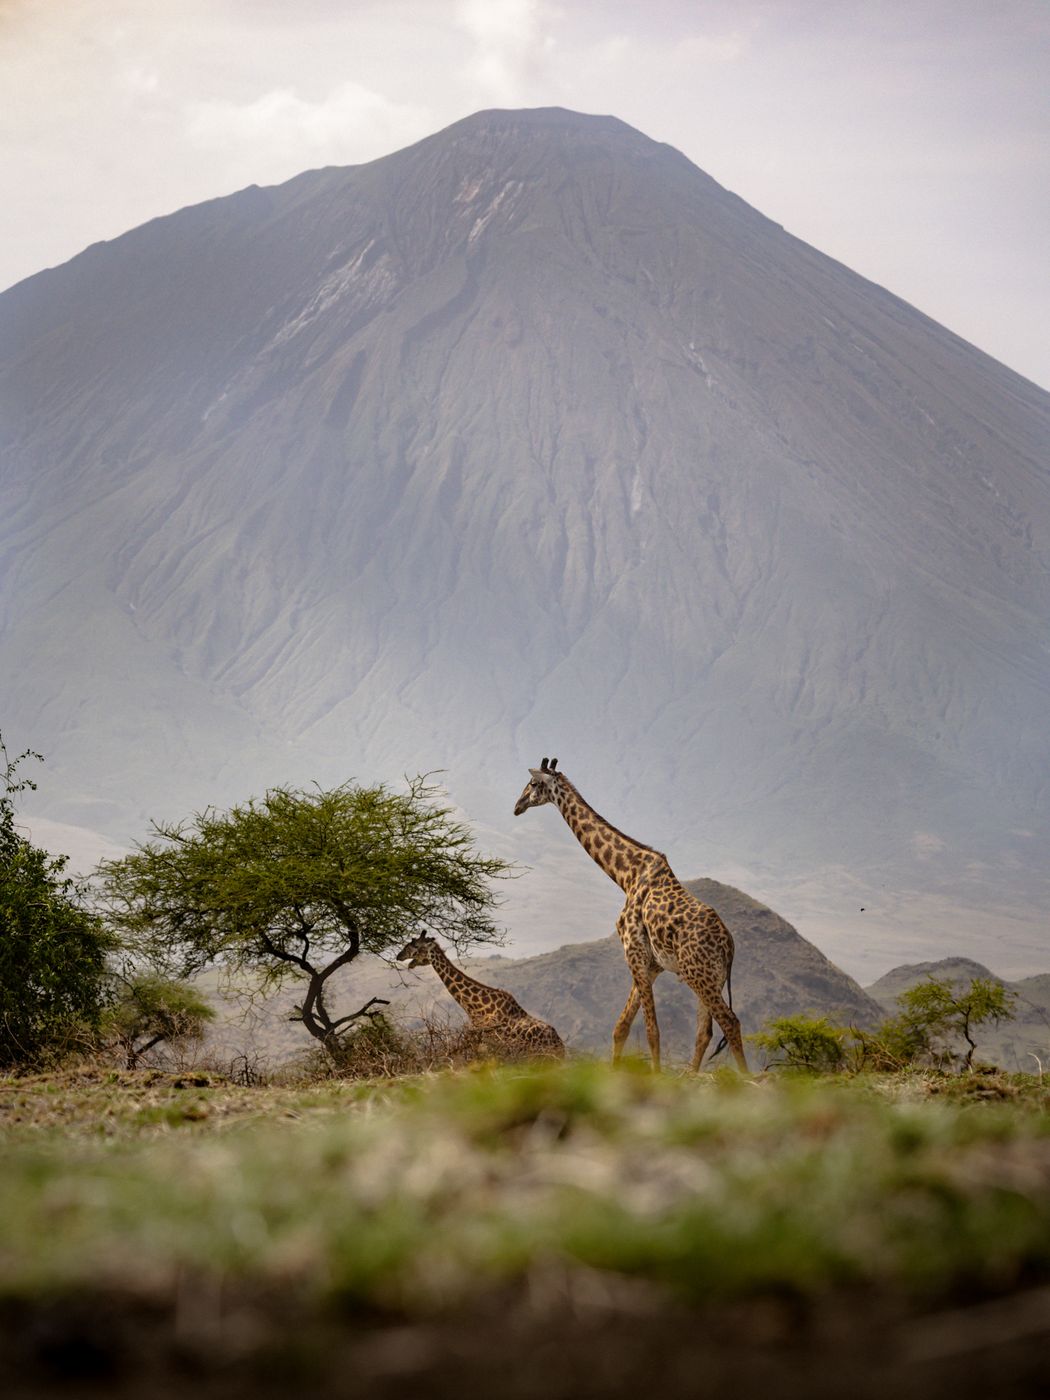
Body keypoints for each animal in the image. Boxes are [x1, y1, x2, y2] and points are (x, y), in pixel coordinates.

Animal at [513, 758, 748, 1073]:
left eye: (533, 783)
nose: (517, 805)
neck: (626, 875)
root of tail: (729, 946)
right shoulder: (651, 963)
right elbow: (621, 1026)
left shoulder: (633, 950)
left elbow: (651, 1030)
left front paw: (655, 1075)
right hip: (708, 976)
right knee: (705, 1031)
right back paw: (691, 1075)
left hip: (698, 973)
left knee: (730, 1022)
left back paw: (745, 1078)